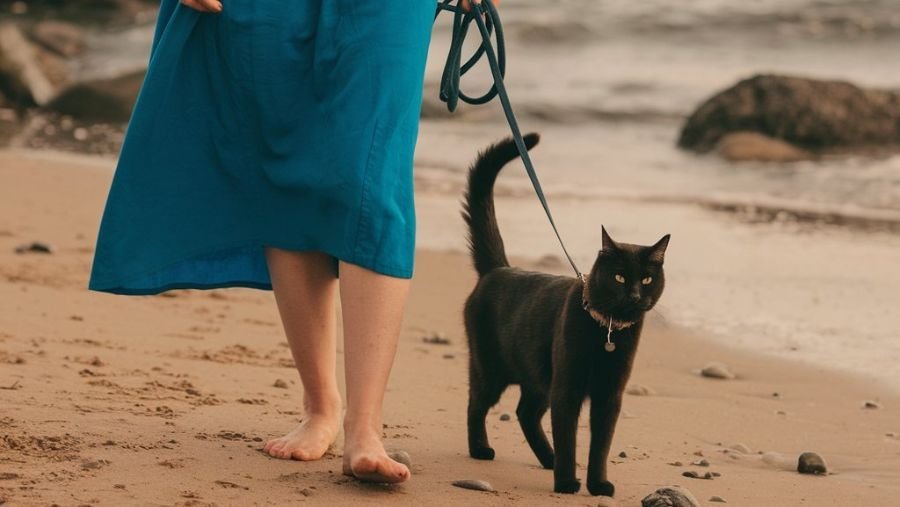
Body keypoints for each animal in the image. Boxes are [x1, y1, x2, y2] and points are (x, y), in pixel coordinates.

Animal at [464, 133, 668, 498]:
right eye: (619, 277)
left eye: (646, 279)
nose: (633, 295)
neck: (607, 332)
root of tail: (498, 268)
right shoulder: (567, 388)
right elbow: (569, 436)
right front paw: (567, 482)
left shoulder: (609, 395)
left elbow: (601, 444)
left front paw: (597, 484)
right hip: (492, 369)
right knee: (477, 403)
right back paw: (482, 450)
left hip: (537, 377)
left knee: (525, 413)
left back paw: (548, 458)